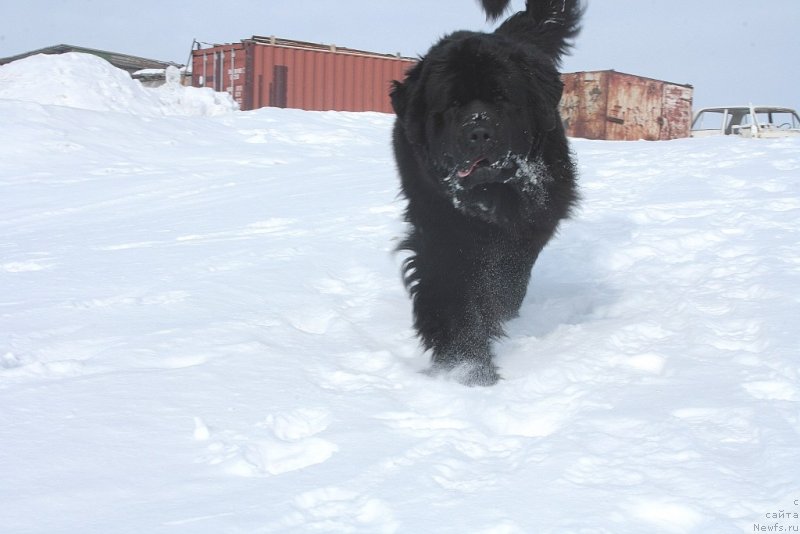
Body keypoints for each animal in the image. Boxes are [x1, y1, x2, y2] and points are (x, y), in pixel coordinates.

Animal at [392, 0, 584, 386]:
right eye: (452, 104)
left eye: (502, 98)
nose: (478, 131)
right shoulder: (440, 231)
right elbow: (454, 295)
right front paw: (469, 367)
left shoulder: (535, 220)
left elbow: (507, 277)